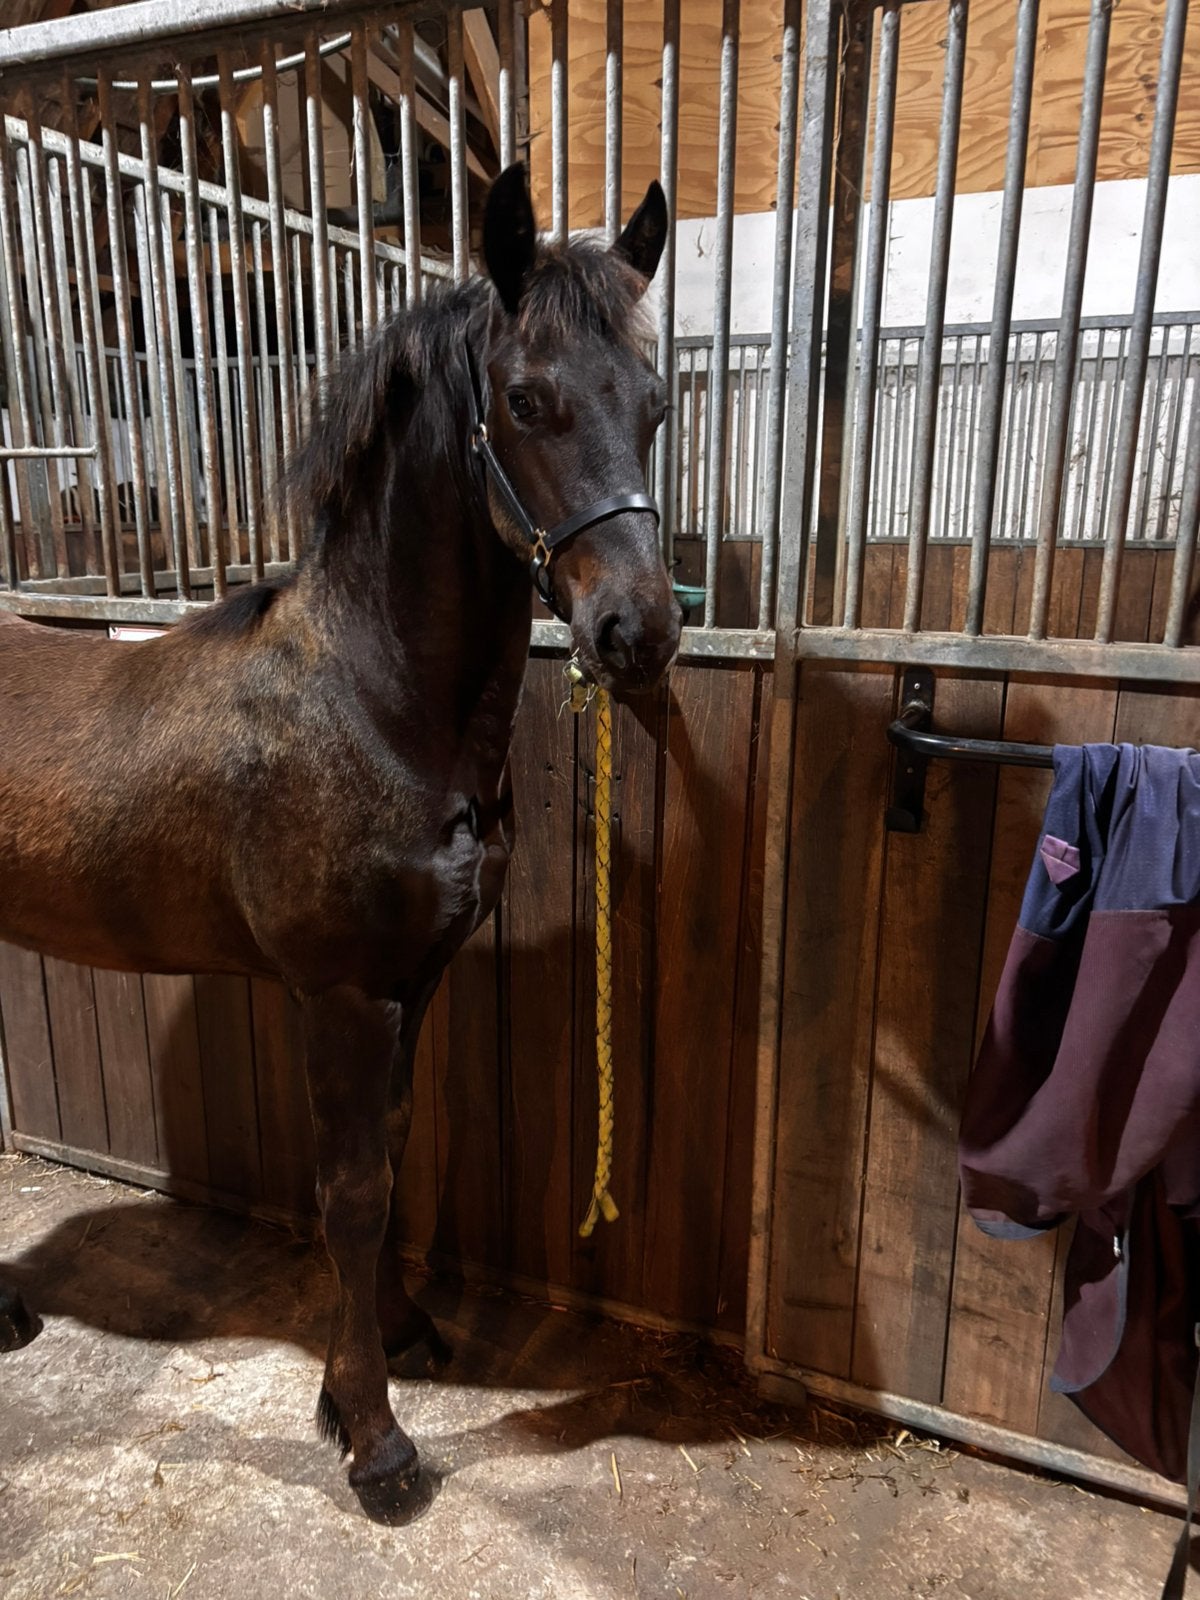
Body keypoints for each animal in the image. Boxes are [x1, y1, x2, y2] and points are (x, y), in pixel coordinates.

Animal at [0, 163, 681, 1523]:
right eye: (526, 399)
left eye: (656, 404)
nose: (640, 630)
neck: (376, 703)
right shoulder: (341, 993)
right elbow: (352, 1193)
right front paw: (374, 1438)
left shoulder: (410, 984)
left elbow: (398, 1151)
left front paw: (398, 1335)